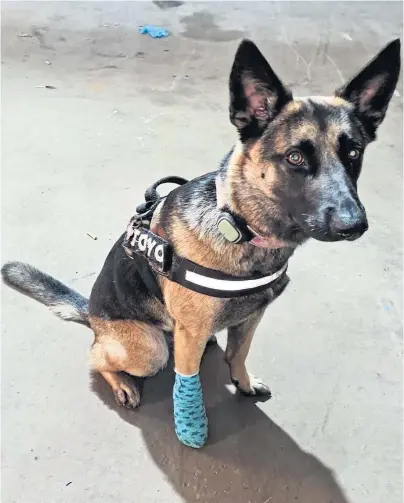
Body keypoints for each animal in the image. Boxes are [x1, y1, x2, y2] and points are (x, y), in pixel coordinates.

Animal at [2, 39, 400, 442]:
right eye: (295, 157)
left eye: (354, 153)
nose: (355, 225)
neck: (240, 226)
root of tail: (92, 316)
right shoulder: (191, 334)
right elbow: (188, 378)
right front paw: (191, 424)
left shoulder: (252, 316)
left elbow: (238, 353)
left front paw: (242, 382)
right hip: (148, 350)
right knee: (97, 357)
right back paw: (122, 382)